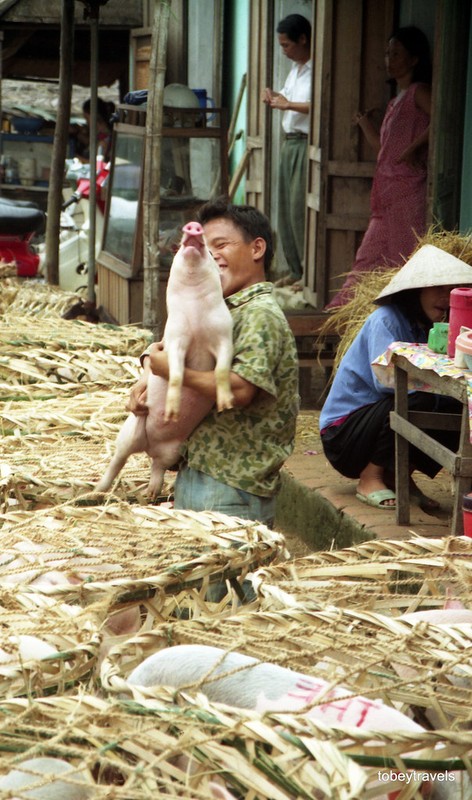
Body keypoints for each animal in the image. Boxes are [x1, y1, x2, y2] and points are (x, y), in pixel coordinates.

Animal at [97, 223, 234, 500]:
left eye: (211, 254)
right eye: (180, 247)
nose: (193, 227)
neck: (196, 318)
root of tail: (149, 445)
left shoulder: (224, 335)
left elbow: (223, 369)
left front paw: (226, 404)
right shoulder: (176, 339)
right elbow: (177, 373)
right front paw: (173, 411)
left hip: (172, 450)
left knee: (157, 466)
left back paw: (151, 493)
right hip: (128, 431)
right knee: (118, 460)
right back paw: (97, 491)